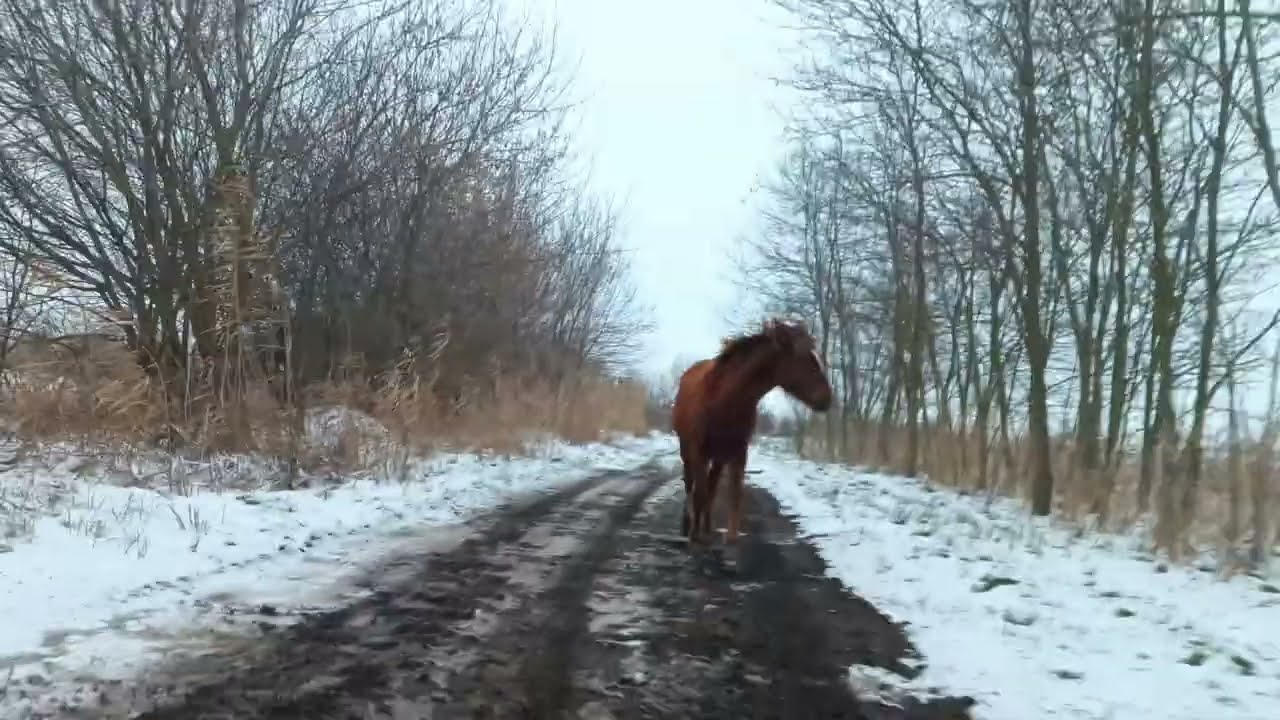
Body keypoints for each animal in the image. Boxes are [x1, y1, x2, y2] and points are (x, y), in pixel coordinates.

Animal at [671, 318, 833, 547]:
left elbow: (732, 494)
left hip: (718, 456)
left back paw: (707, 528)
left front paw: (725, 536)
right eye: (804, 359)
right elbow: (700, 493)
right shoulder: (698, 450)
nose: (827, 398)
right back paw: (688, 525)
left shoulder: (738, 452)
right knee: (690, 485)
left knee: (710, 488)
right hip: (687, 450)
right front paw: (694, 535)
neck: (724, 400)